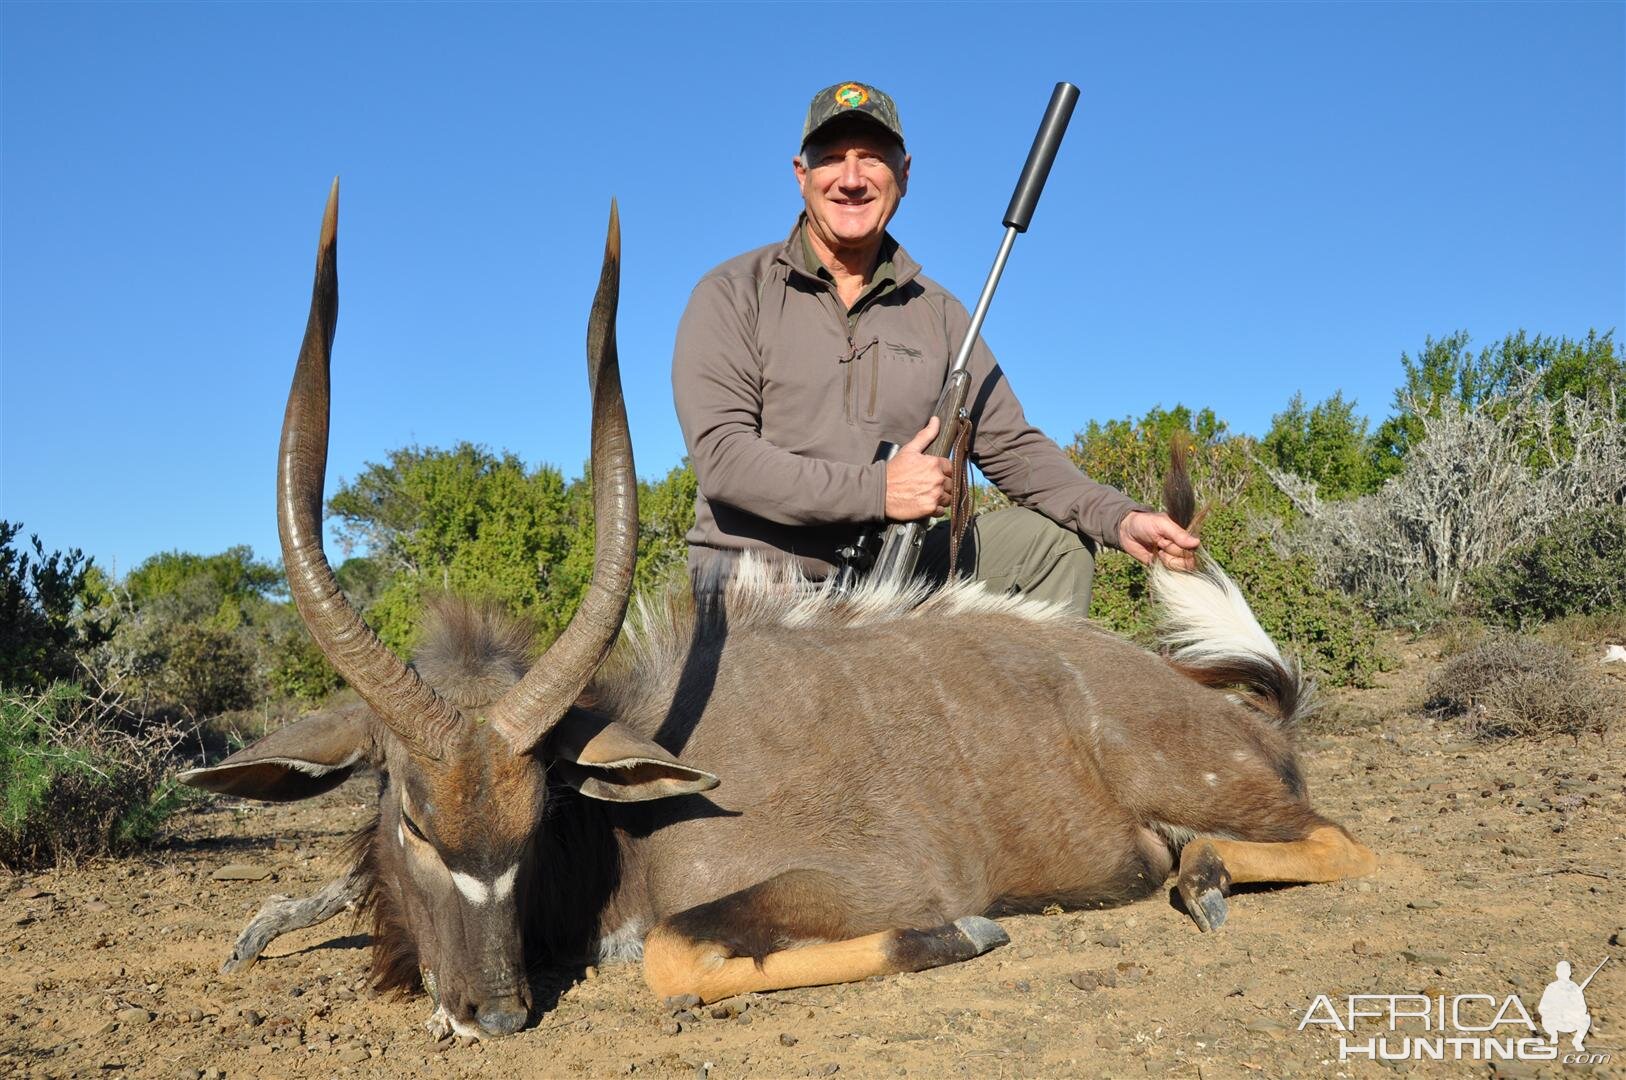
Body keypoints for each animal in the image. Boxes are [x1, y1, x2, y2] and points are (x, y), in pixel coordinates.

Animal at [181, 183, 1372, 1040]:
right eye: (412, 819)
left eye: (538, 814)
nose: (495, 1013)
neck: (624, 827)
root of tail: (1239, 710)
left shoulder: (865, 881)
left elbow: (672, 953)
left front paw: (966, 934)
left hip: (1232, 800)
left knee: (1346, 847)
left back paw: (1202, 877)